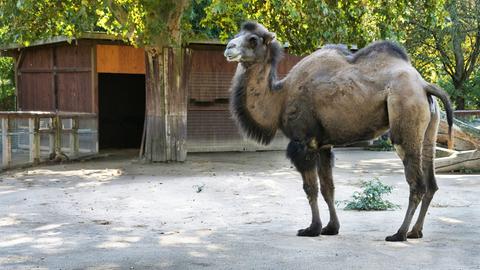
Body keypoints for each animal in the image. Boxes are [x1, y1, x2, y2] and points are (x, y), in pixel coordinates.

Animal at [223, 22, 452, 242]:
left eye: (253, 39)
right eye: (237, 34)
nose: (228, 47)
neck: (280, 96)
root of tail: (424, 85)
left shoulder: (303, 142)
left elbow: (311, 188)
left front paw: (312, 228)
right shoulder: (323, 145)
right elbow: (328, 188)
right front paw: (331, 228)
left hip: (405, 118)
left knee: (417, 183)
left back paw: (399, 234)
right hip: (429, 129)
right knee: (431, 183)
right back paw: (415, 232)